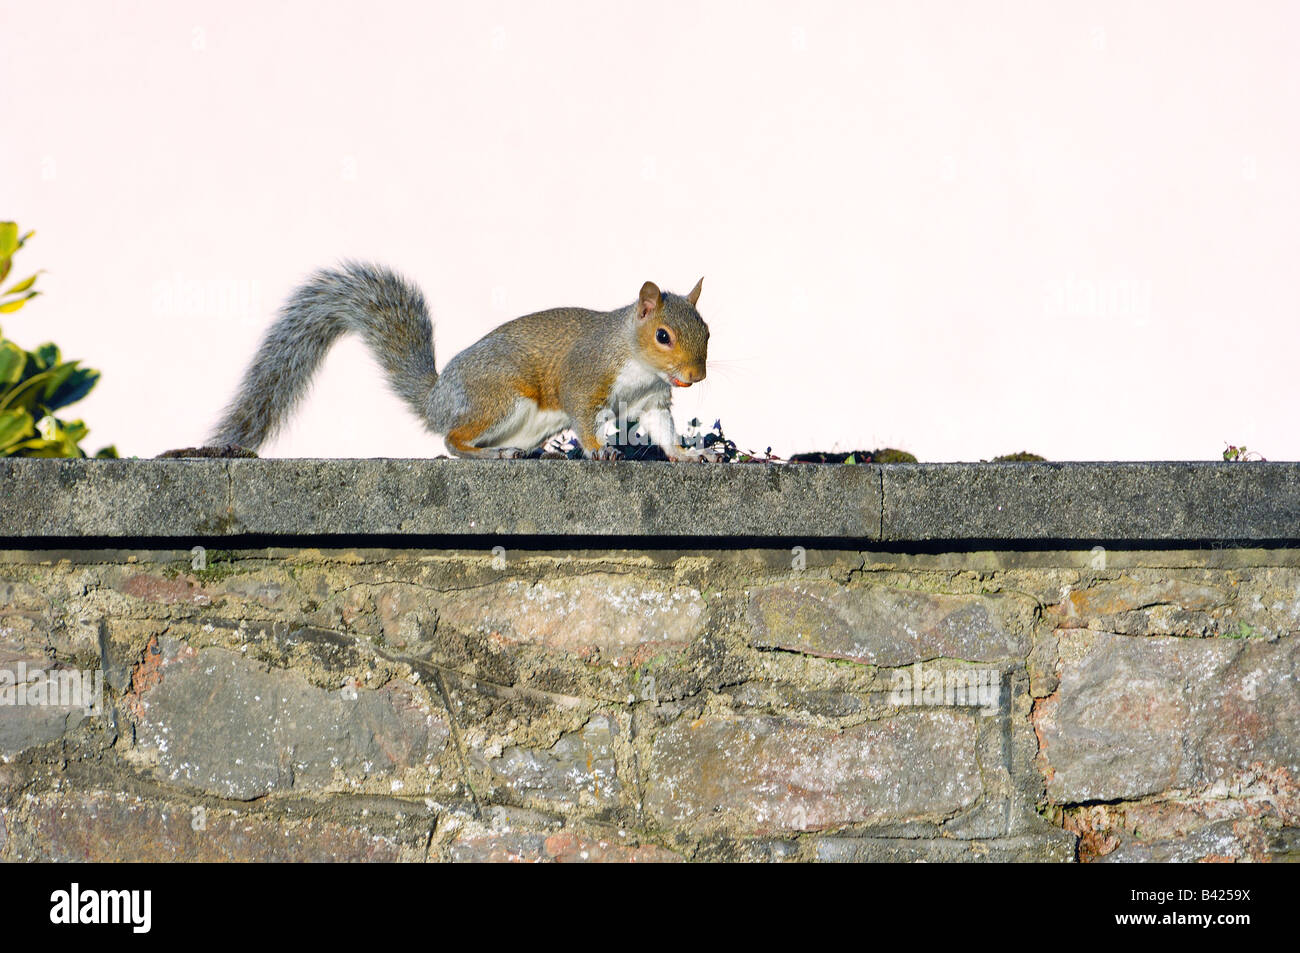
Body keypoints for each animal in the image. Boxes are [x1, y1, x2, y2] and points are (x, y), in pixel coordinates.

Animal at [209, 262, 712, 460]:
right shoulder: (586, 377)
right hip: (499, 399)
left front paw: (688, 455)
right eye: (663, 336)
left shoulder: (651, 400)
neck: (639, 364)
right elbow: (582, 414)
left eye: (707, 331)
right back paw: (488, 453)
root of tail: (437, 399)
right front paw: (598, 449)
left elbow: (663, 432)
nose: (694, 377)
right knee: (452, 440)